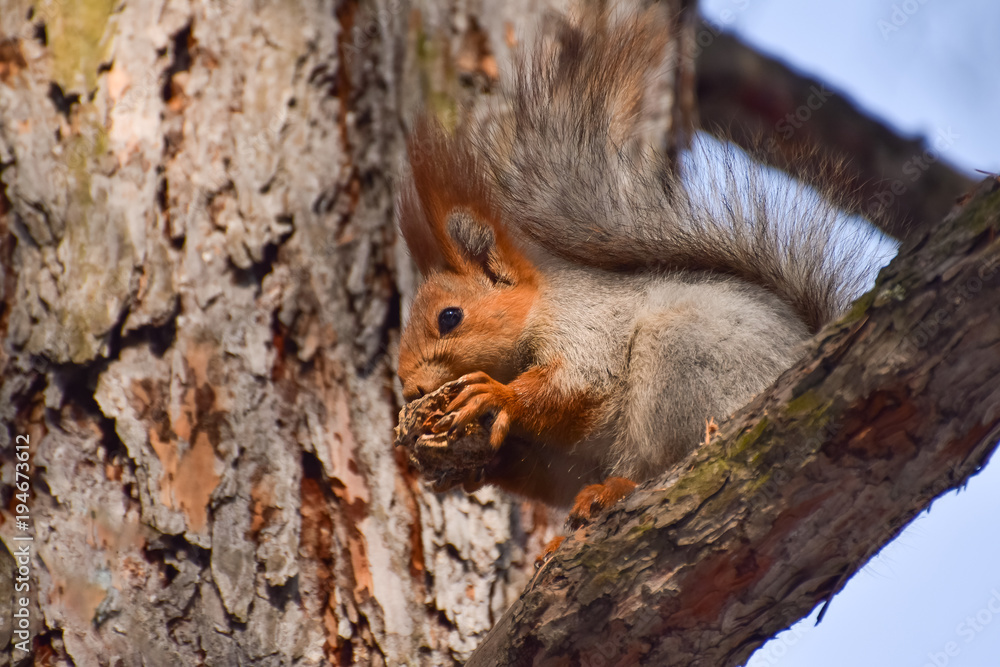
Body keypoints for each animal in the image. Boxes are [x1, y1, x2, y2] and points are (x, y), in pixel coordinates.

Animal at [394, 6, 872, 528]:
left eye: (450, 317)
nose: (411, 388)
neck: (542, 303)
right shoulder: (561, 455)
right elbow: (541, 464)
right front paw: (467, 463)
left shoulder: (589, 324)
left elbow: (577, 383)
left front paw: (495, 395)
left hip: (682, 361)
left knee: (658, 459)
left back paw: (619, 487)